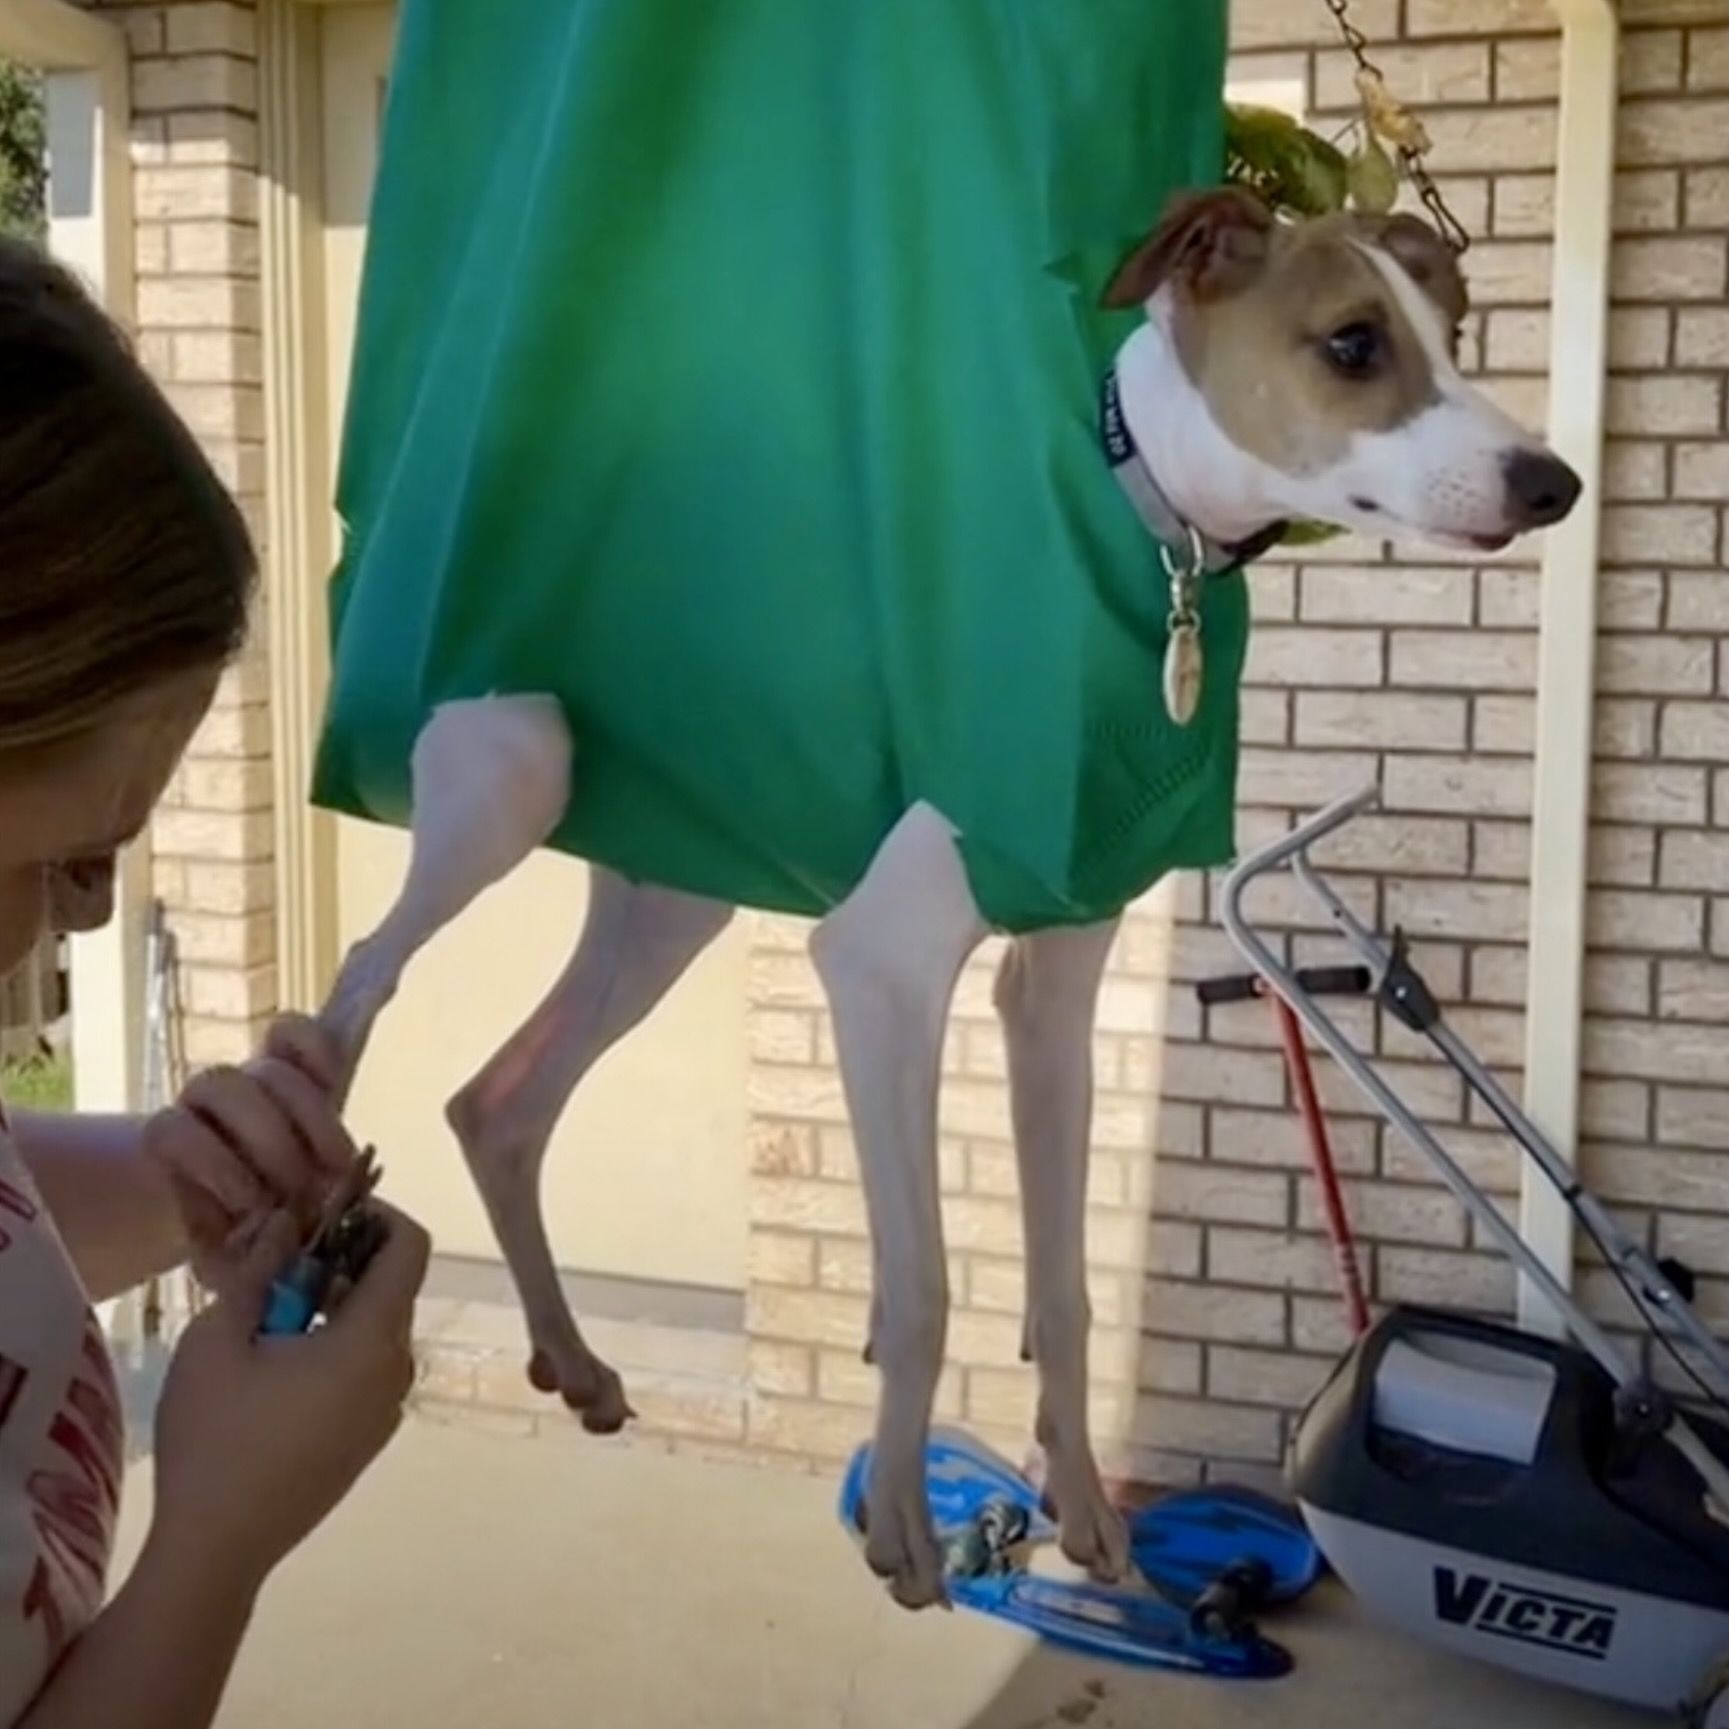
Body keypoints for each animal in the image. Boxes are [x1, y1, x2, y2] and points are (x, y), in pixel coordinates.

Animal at [314, 185, 1583, 1604]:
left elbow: (1066, 1285)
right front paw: (904, 1532)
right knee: (355, 987)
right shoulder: (880, 968)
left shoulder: (1057, 980)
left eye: (1452, 331)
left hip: (664, 907)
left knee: (498, 1103)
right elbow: (917, 1291)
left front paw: (1083, 1513)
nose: (1554, 484)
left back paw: (575, 1361)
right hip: (506, 780)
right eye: (1354, 343)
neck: (1141, 532)